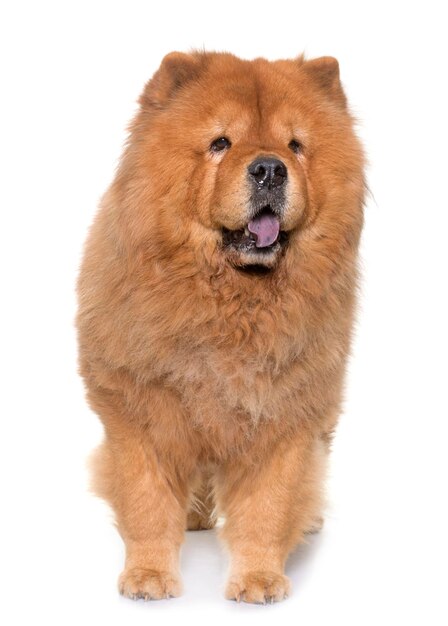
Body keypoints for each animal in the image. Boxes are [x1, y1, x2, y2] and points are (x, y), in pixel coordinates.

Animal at [77, 51, 364, 604]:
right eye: (220, 143)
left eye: (296, 145)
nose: (270, 168)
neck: (232, 308)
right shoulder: (140, 409)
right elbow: (146, 502)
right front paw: (148, 577)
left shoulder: (287, 415)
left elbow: (269, 506)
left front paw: (259, 581)